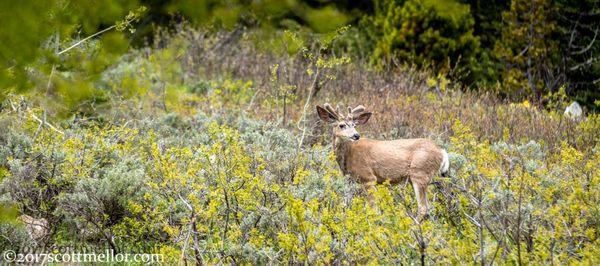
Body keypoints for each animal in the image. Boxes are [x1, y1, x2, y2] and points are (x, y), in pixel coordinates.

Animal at [314, 103, 450, 219]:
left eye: (354, 125)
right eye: (342, 125)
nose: (356, 135)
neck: (348, 156)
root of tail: (442, 151)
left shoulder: (368, 178)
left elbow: (374, 210)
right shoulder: (349, 180)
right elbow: (345, 205)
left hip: (420, 173)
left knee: (423, 208)